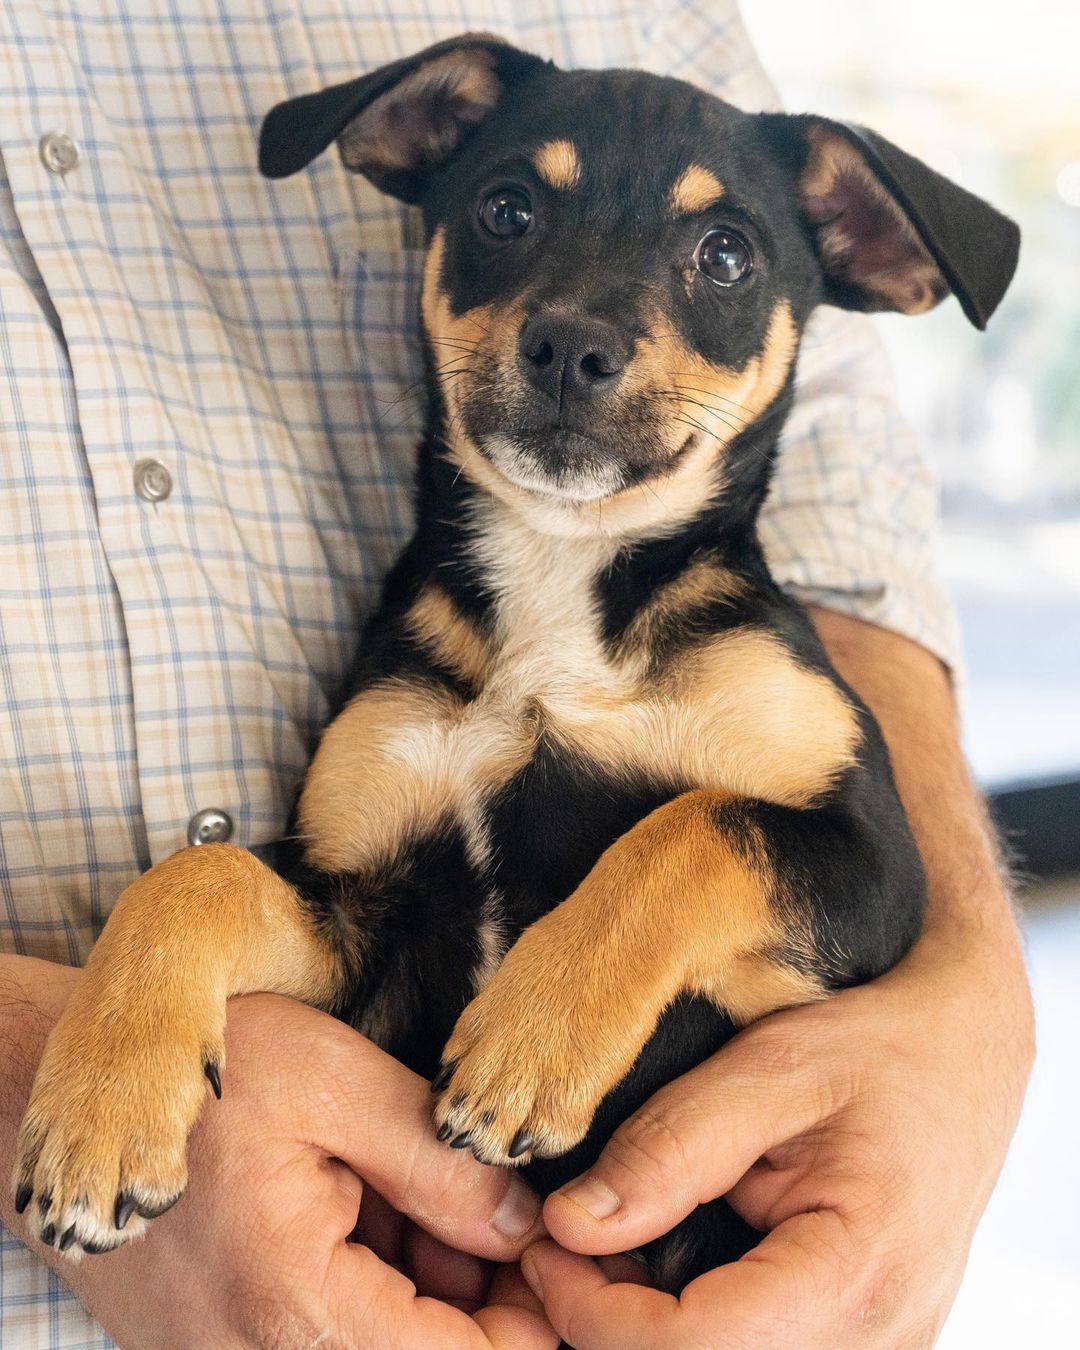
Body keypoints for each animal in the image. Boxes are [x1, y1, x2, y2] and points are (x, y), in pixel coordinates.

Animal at [12, 29, 1015, 1296]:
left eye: (726, 254)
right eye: (505, 208)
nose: (573, 346)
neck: (560, 575)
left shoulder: (875, 867)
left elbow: (688, 829)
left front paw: (531, 1043)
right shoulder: (370, 918)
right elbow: (196, 876)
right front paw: (98, 1114)